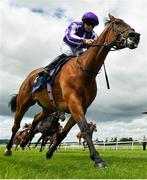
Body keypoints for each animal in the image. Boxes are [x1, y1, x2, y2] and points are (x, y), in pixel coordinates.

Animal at [4, 14, 140, 169]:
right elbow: (85, 129)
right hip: (24, 102)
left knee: (36, 118)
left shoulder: (82, 106)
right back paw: (8, 149)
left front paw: (49, 153)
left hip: (48, 108)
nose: (135, 36)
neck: (85, 70)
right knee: (16, 125)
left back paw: (25, 141)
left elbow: (63, 133)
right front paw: (98, 159)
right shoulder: (73, 101)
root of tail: (30, 75)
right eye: (117, 23)